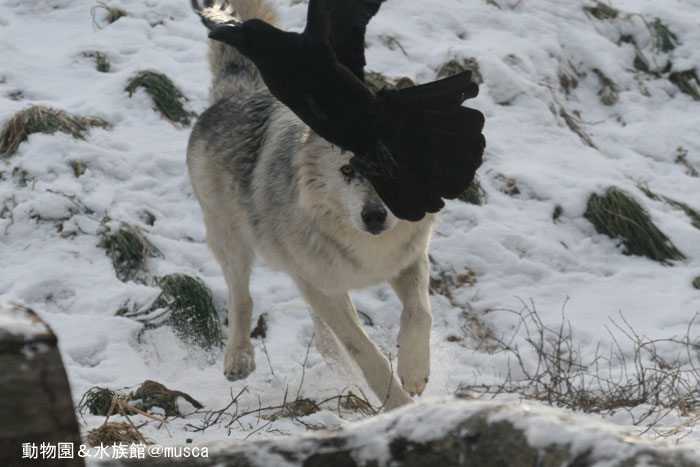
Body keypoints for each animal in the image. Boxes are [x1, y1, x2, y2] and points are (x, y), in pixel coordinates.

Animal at [189, 0, 434, 410]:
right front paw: (400, 408)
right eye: (348, 169)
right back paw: (238, 359)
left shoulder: (409, 260)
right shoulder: (328, 289)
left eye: (393, 170)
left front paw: (414, 372)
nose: (375, 215)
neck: (367, 247)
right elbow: (367, 354)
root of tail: (237, 94)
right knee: (242, 298)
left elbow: (420, 312)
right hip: (233, 242)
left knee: (320, 334)